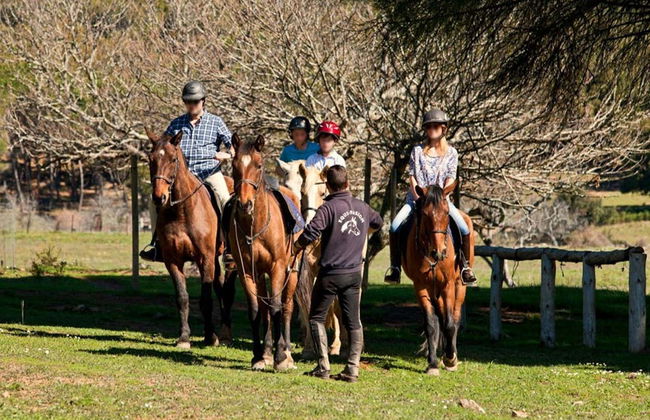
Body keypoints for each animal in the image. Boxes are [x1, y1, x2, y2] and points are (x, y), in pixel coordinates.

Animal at [145, 129, 237, 349]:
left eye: (173, 159)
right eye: (151, 159)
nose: (159, 197)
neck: (182, 211)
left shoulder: (204, 259)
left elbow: (205, 299)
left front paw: (211, 336)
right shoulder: (173, 261)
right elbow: (182, 298)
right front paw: (184, 337)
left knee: (226, 292)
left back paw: (225, 333)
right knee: (220, 287)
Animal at [229, 133, 301, 371]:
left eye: (259, 165)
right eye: (233, 165)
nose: (245, 204)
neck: (256, 226)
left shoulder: (278, 267)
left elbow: (277, 307)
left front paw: (280, 357)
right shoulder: (247, 270)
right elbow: (255, 309)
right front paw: (259, 356)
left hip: (292, 272)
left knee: (286, 307)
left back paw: (286, 354)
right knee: (264, 307)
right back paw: (267, 353)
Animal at [401, 182, 474, 375]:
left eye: (446, 213)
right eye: (425, 214)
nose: (439, 252)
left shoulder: (448, 285)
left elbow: (449, 323)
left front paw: (450, 358)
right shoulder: (420, 286)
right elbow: (431, 324)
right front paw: (432, 363)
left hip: (459, 286)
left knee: (454, 317)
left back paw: (452, 356)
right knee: (439, 318)